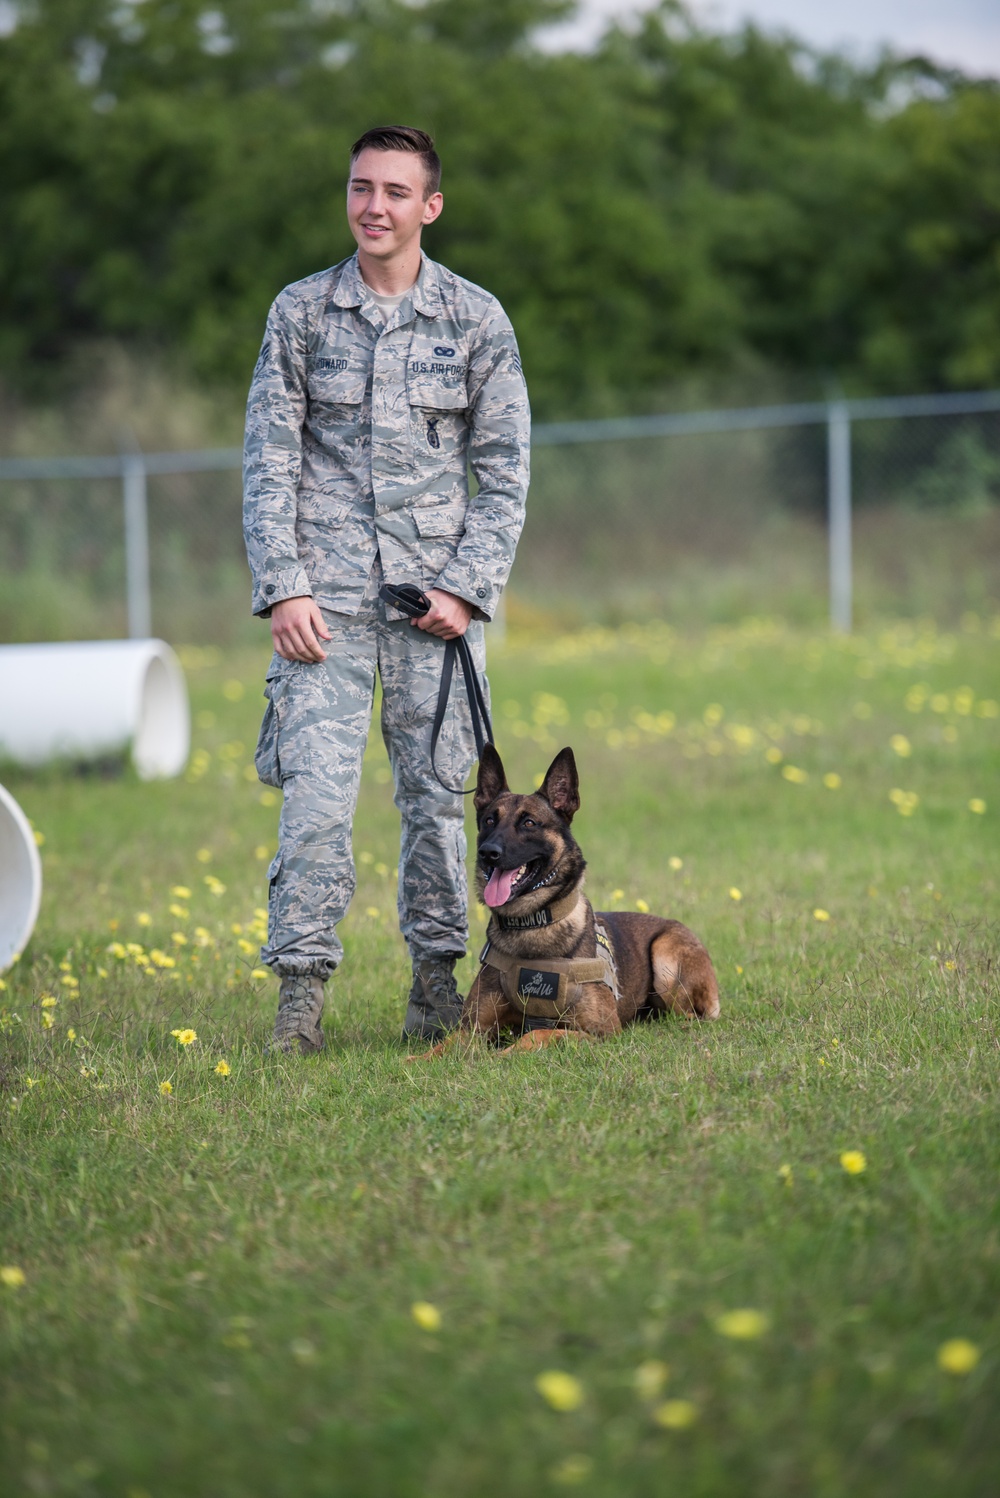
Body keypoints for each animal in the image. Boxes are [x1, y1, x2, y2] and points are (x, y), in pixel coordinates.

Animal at [413, 746, 718, 1054]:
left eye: (529, 823)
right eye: (489, 820)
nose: (488, 852)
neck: (532, 923)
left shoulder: (601, 1033)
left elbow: (537, 1034)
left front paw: (502, 1054)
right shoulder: (471, 1030)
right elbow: (440, 1049)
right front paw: (413, 1059)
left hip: (666, 958)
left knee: (689, 1015)